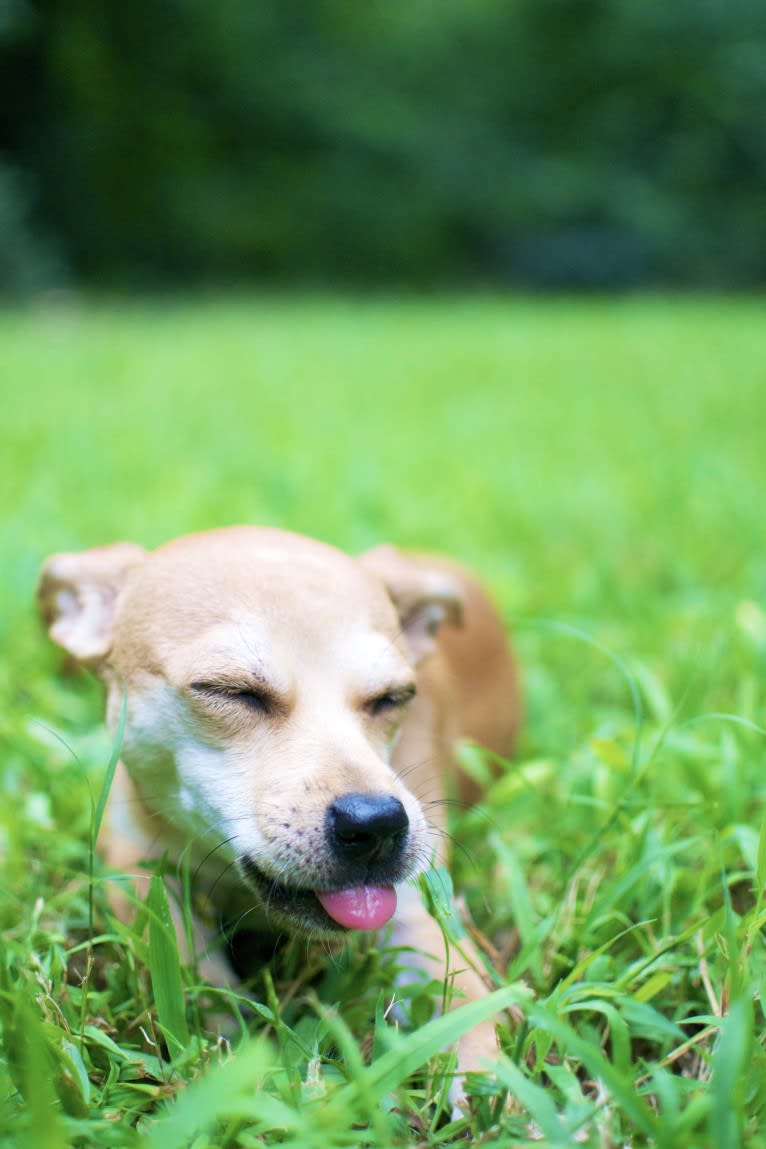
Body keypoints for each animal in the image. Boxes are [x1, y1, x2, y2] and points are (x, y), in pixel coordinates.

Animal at [37, 526, 521, 1084]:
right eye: (230, 691)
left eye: (394, 698)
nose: (377, 825)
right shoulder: (138, 866)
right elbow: (188, 969)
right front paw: (228, 1056)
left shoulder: (417, 906)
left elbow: (465, 993)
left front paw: (492, 1082)